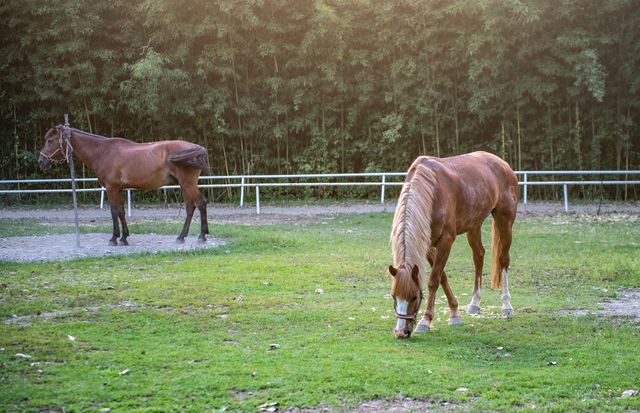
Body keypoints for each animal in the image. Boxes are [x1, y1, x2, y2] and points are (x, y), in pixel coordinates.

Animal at [38, 124, 210, 245]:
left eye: (50, 141)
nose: (41, 161)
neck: (103, 152)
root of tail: (197, 147)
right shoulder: (118, 190)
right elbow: (121, 212)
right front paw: (124, 237)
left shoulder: (111, 188)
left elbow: (114, 212)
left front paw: (114, 238)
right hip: (184, 185)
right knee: (190, 208)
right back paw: (181, 237)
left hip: (188, 184)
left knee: (200, 204)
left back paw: (202, 236)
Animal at [388, 151, 516, 338]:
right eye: (393, 296)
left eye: (414, 297)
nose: (401, 332)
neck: (431, 192)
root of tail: (503, 164)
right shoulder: (427, 245)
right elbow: (442, 276)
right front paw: (455, 313)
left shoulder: (446, 241)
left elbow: (434, 280)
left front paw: (425, 321)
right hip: (474, 224)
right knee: (479, 256)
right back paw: (475, 304)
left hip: (505, 220)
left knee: (503, 260)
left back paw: (507, 307)